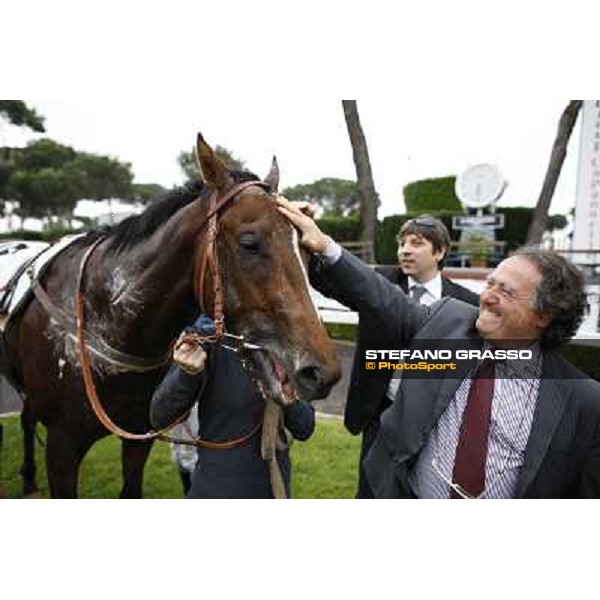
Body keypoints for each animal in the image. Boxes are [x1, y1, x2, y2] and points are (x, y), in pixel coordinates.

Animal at [0, 135, 340, 496]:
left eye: (307, 249)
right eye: (250, 243)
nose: (322, 372)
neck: (104, 318)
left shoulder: (139, 435)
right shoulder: (62, 447)